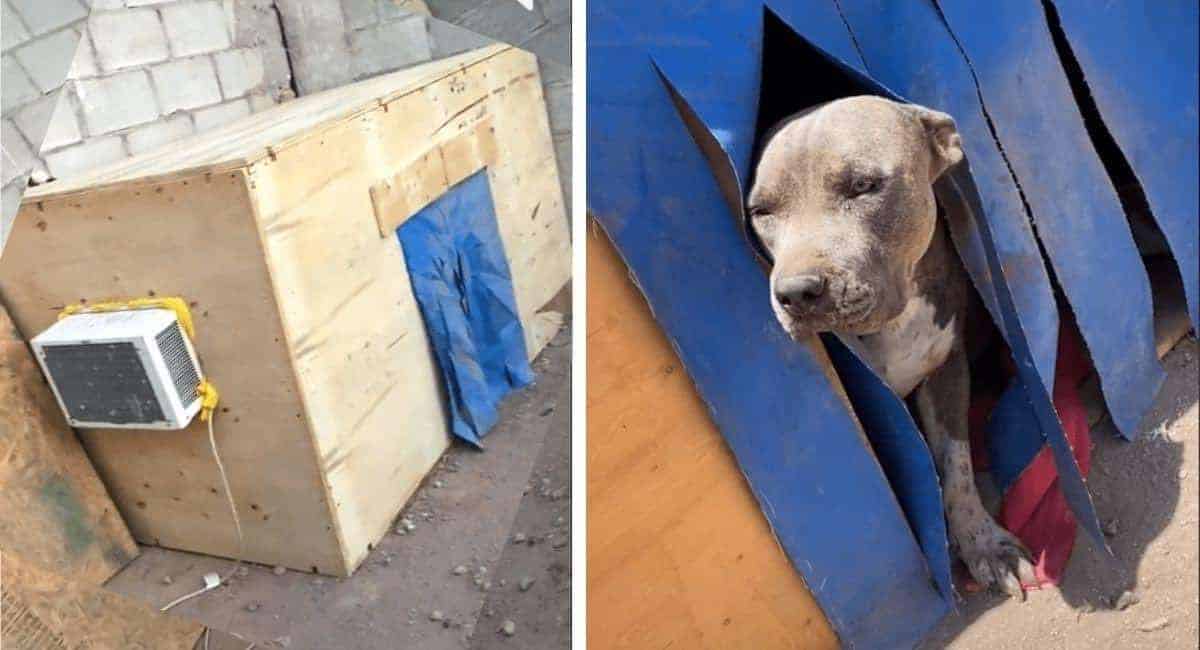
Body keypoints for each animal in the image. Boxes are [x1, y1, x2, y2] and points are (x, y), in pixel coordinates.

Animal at [748, 95, 1041, 602]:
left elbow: (957, 465)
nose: (797, 293)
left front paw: (984, 543)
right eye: (761, 211)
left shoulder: (946, 370)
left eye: (864, 185)